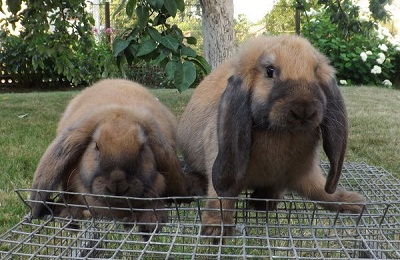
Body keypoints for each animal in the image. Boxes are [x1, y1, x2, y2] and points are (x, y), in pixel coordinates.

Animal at [178, 35, 366, 238]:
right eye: (270, 71)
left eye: (315, 71)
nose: (304, 110)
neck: (282, 135)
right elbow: (220, 198)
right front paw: (215, 230)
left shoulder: (298, 174)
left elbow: (323, 193)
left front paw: (353, 202)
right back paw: (195, 187)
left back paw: (262, 202)